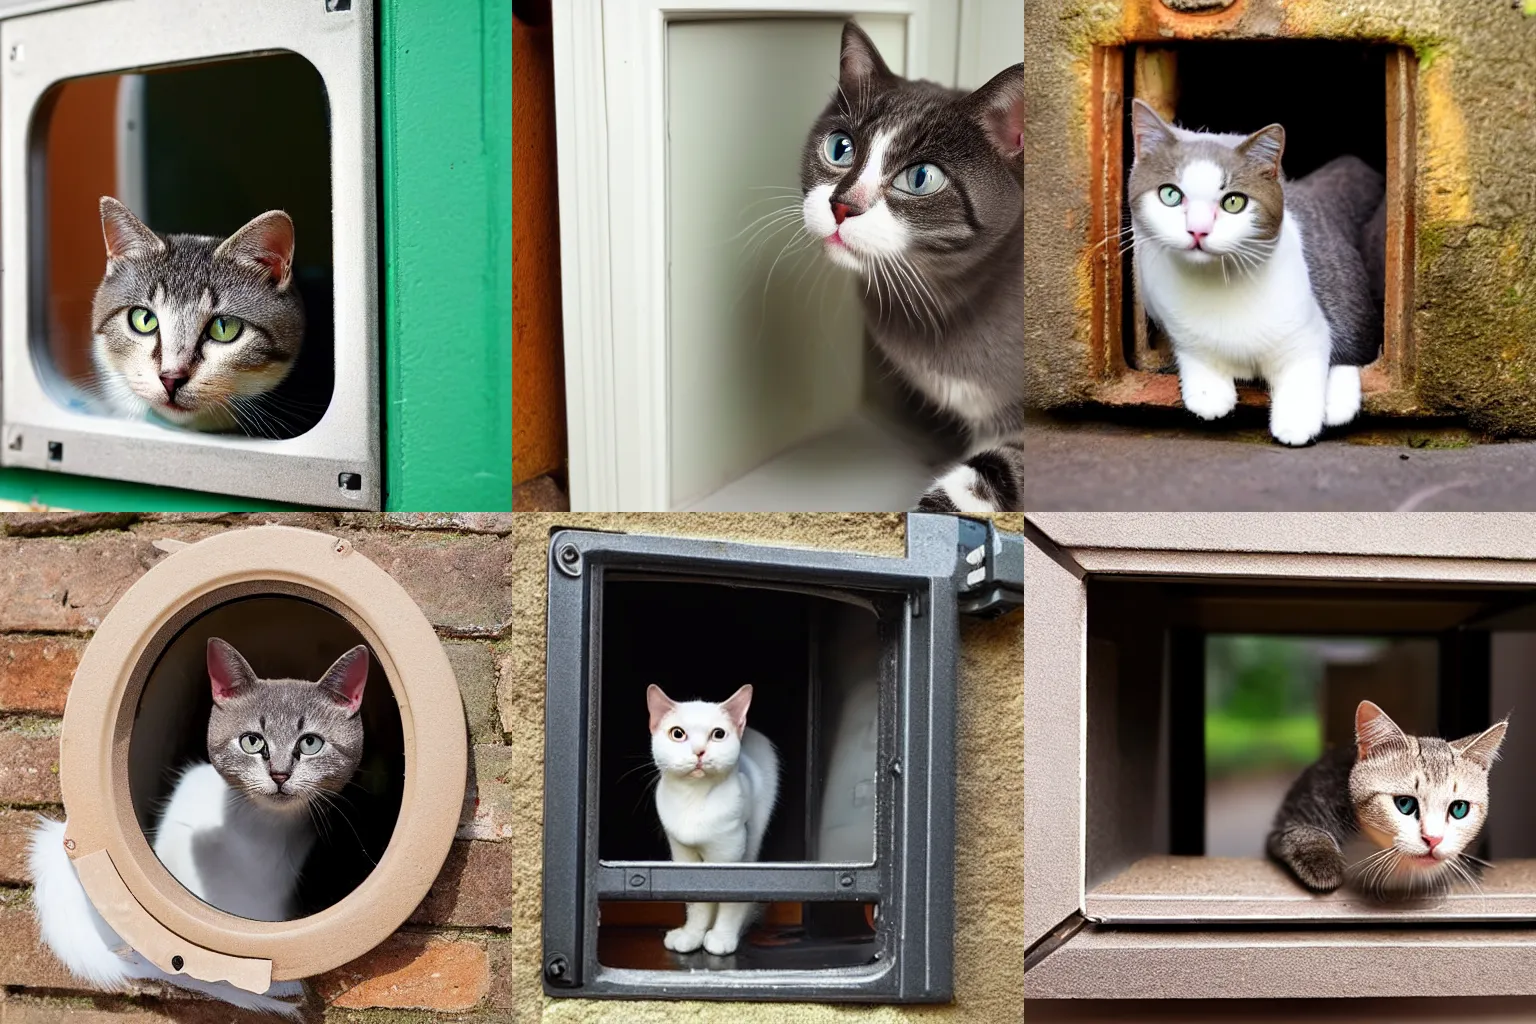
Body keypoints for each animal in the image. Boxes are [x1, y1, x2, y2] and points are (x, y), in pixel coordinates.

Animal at [645, 684, 780, 957]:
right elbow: (697, 901)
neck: (693, 800)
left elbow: (730, 899)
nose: (699, 751)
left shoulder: (731, 853)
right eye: (678, 734)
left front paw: (721, 937)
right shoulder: (683, 855)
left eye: (718, 734)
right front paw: (691, 935)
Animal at [1130, 101, 1382, 448]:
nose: (1198, 230)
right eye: (1170, 195)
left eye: (1234, 202)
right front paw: (1208, 394)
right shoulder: (1174, 322)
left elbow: (1305, 370)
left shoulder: (1307, 331)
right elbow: (1200, 364)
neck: (1218, 285)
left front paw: (1296, 423)